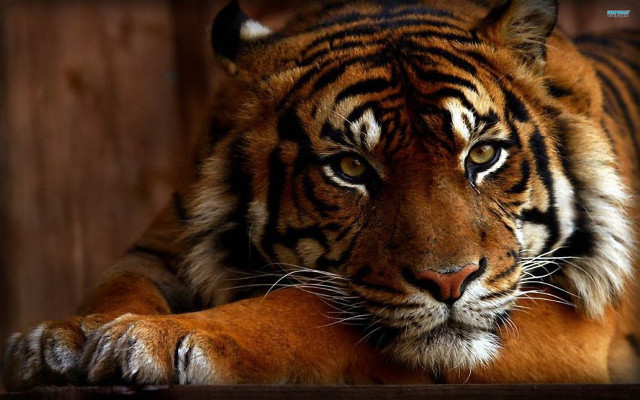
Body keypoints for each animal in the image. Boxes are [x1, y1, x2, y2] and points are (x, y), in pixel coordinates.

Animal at [3, 0, 640, 389]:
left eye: (482, 155)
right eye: (351, 167)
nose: (450, 282)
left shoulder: (571, 318)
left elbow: (304, 308)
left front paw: (160, 339)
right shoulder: (160, 247)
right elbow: (116, 286)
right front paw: (61, 340)